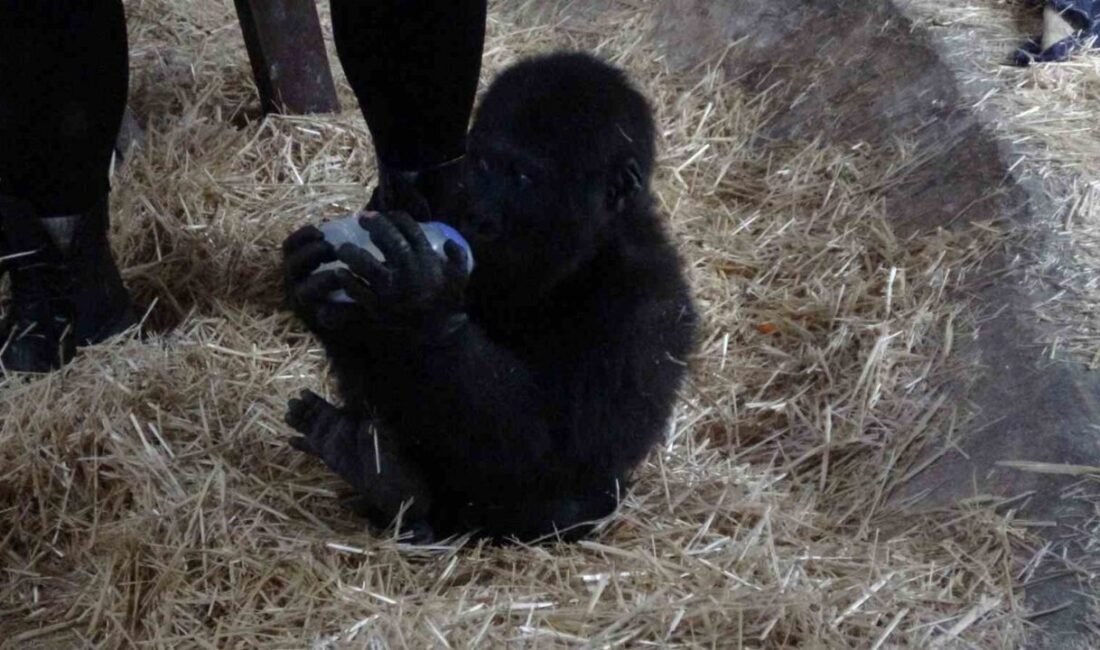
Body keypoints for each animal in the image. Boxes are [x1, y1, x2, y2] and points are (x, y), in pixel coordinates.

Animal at [283, 53, 695, 543]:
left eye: (522, 176)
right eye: (481, 164)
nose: (480, 210)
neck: (585, 249)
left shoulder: (647, 304)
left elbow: (557, 450)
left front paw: (422, 306)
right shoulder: (440, 197)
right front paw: (317, 295)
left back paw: (393, 483)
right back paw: (376, 469)